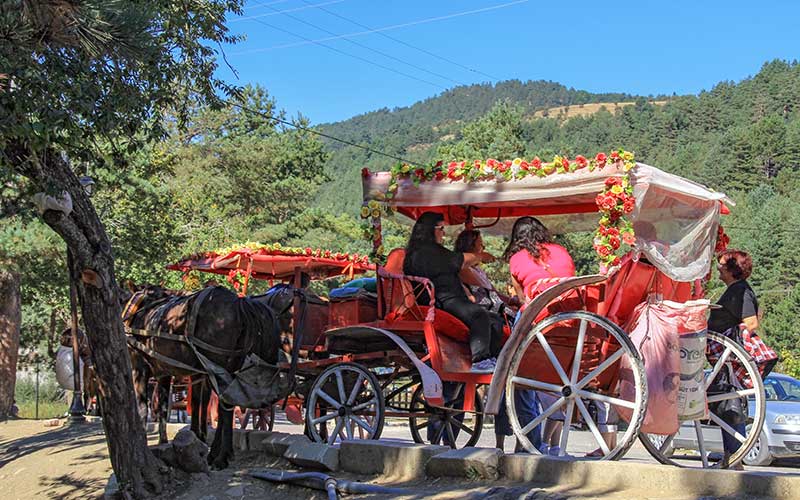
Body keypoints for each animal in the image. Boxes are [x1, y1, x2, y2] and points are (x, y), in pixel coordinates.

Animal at [121, 286, 278, 468]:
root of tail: (239, 303)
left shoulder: (138, 367)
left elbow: (142, 408)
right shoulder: (166, 373)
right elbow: (166, 407)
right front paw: (165, 442)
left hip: (220, 368)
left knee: (225, 409)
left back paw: (221, 457)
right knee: (225, 407)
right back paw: (216, 453)